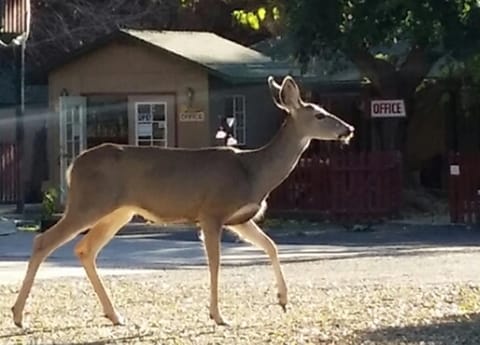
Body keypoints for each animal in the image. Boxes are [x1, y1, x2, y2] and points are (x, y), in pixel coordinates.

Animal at [10, 73, 352, 328]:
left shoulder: (240, 219)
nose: (348, 129)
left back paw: (115, 315)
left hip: (118, 211)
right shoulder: (212, 211)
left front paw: (282, 300)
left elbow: (271, 246)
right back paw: (18, 316)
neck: (254, 171)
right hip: (89, 203)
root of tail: (72, 167)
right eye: (320, 114)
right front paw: (218, 315)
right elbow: (215, 262)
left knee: (85, 249)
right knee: (44, 240)